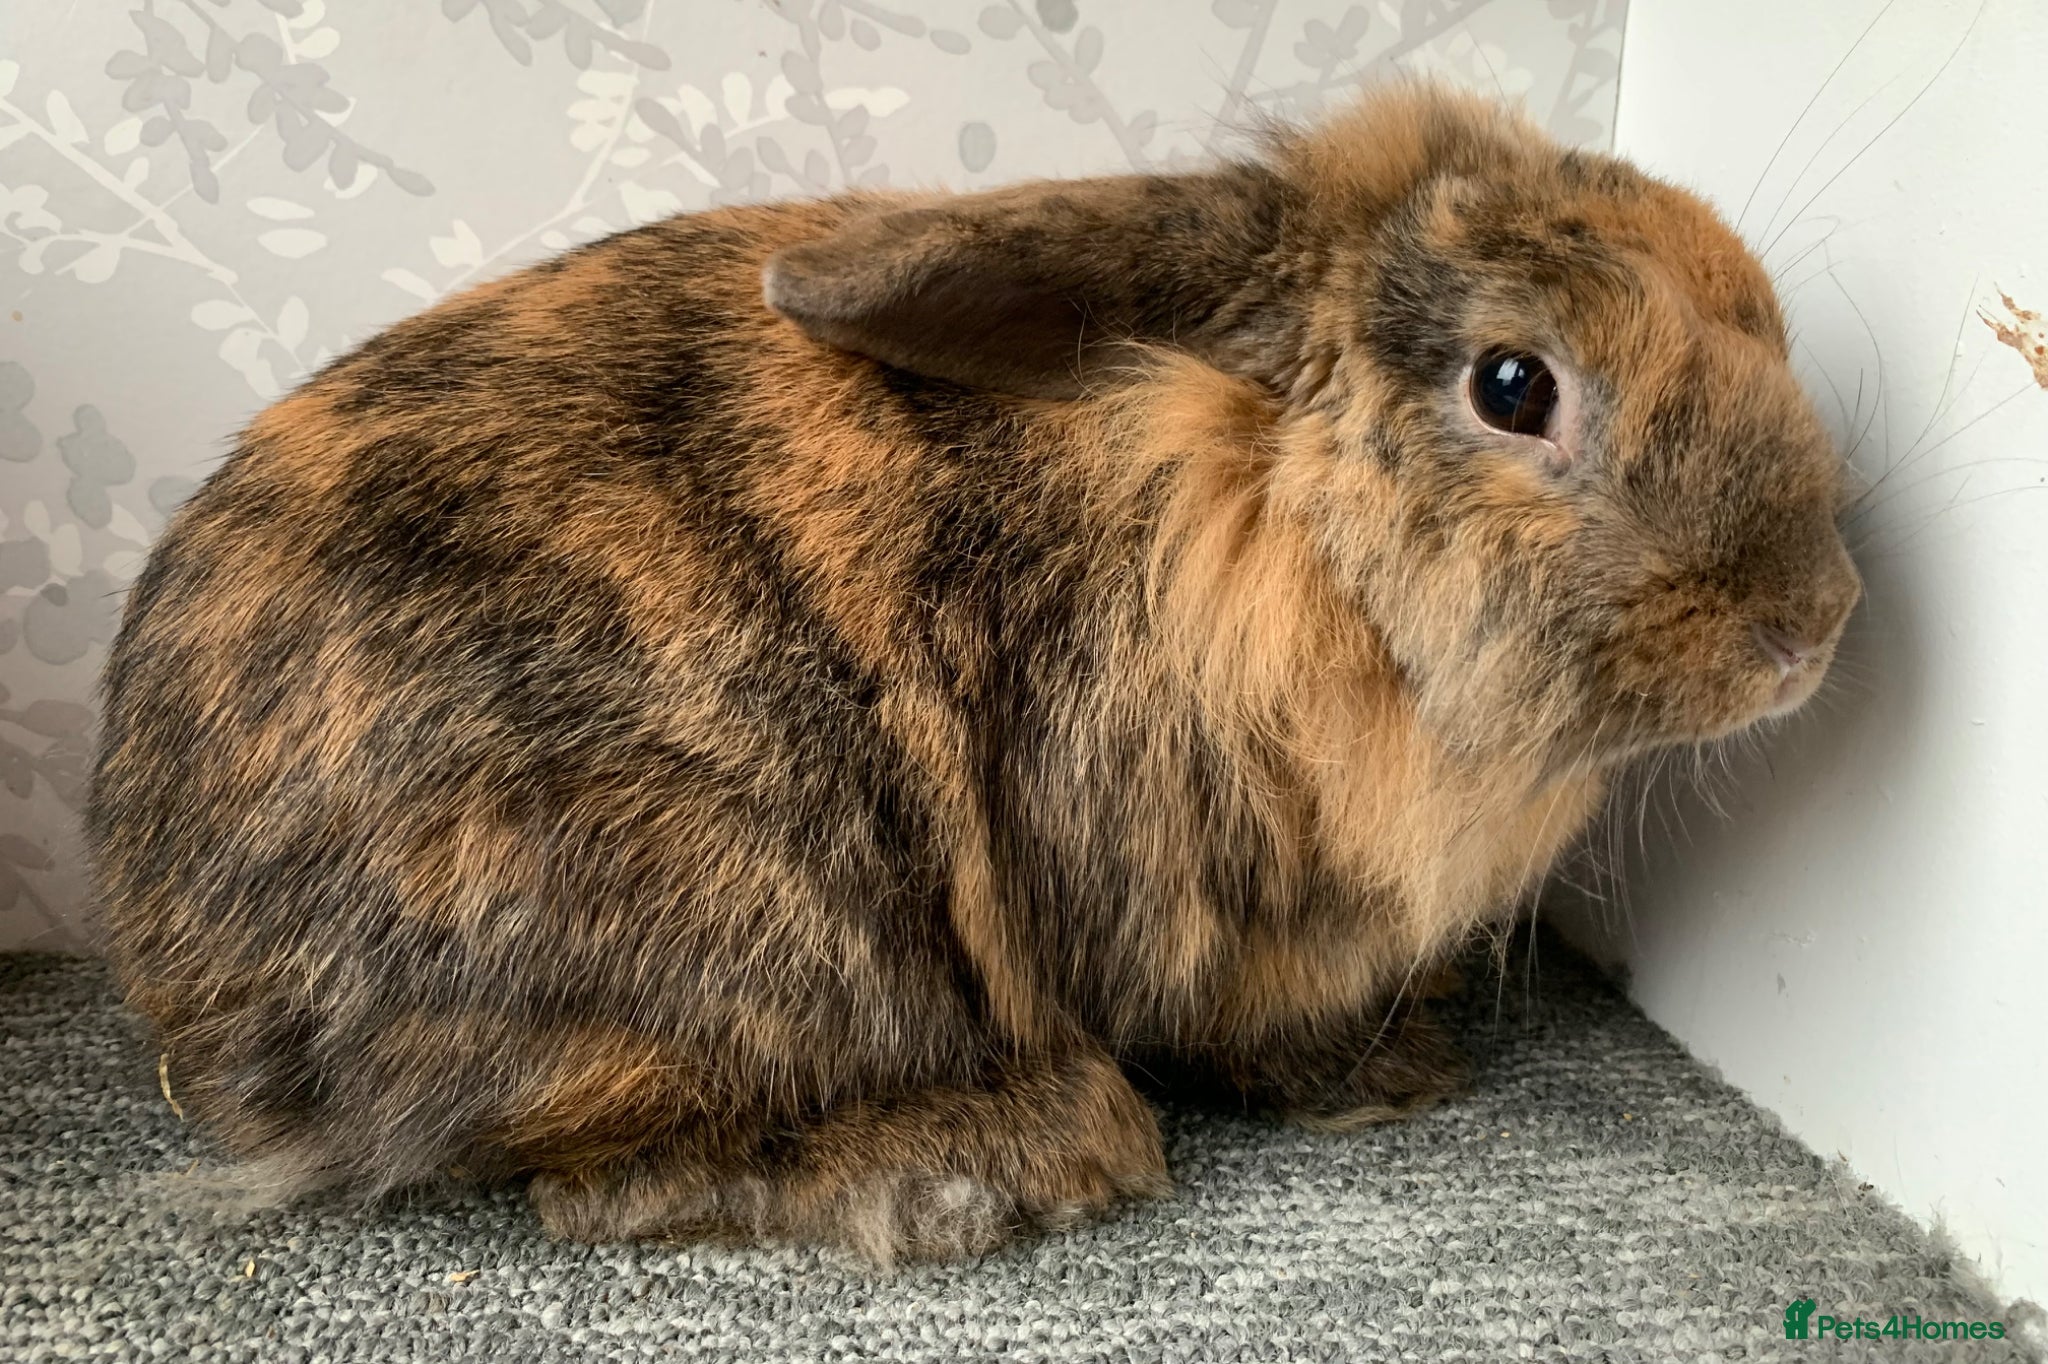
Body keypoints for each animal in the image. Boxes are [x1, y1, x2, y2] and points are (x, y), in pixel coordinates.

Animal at [88, 84, 1861, 1264]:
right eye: (1512, 385)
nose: (1817, 622)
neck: (1278, 539)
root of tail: (181, 976)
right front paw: (1390, 1081)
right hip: (727, 913)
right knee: (595, 1173)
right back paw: (1010, 1156)